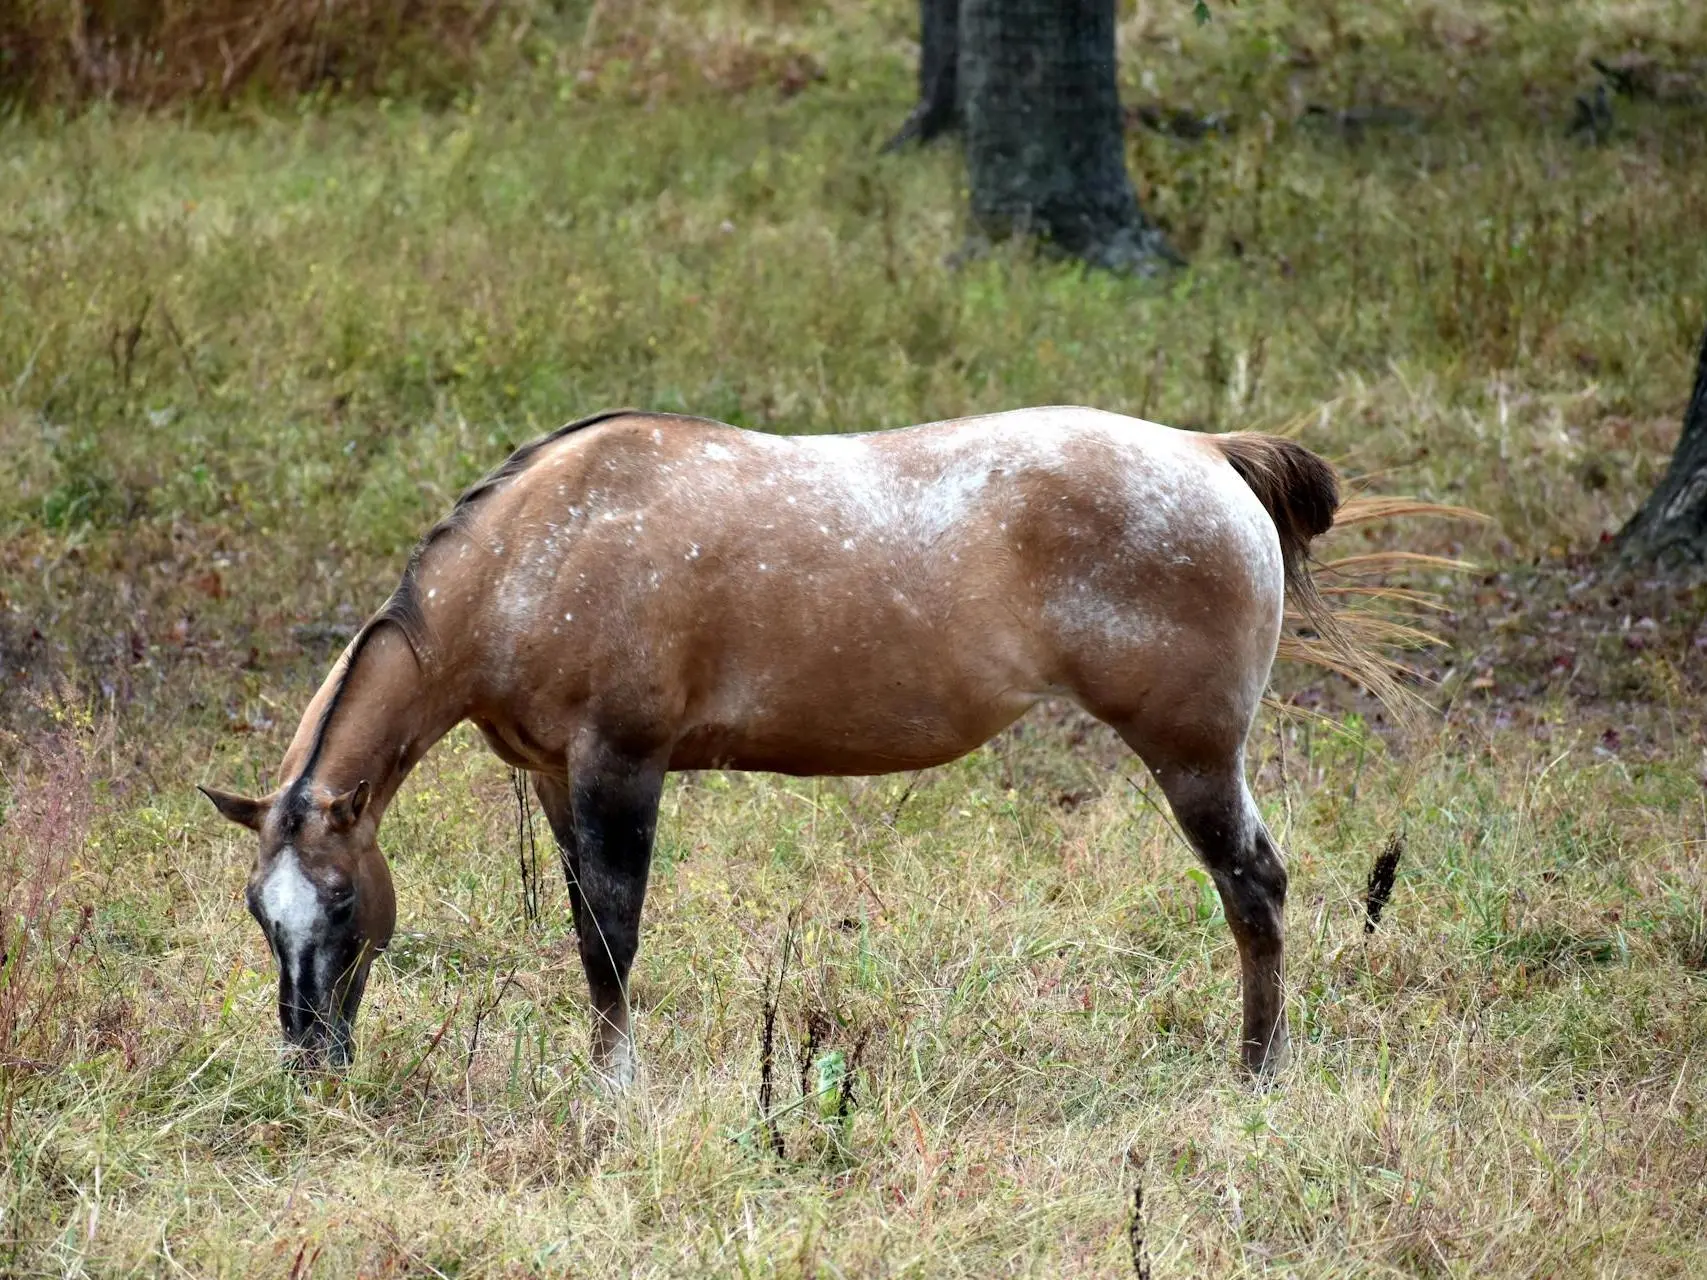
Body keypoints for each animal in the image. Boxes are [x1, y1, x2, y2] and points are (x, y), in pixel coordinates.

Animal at [203, 407, 1386, 1085]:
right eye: (265, 912)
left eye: (341, 903)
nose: (310, 1063)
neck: (540, 550)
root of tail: (1209, 454)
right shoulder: (554, 777)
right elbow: (587, 924)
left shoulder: (620, 763)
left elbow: (611, 936)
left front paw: (617, 1091)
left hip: (1193, 755)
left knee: (1254, 887)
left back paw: (1255, 1076)